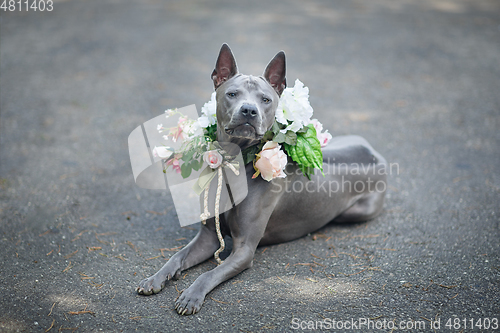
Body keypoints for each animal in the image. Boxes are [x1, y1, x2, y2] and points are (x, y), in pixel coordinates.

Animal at [137, 44, 386, 314]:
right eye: (232, 94)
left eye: (265, 99)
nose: (249, 110)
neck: (234, 162)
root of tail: (373, 152)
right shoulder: (208, 237)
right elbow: (176, 256)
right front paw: (154, 278)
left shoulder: (244, 249)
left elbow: (208, 274)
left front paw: (191, 296)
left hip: (356, 212)